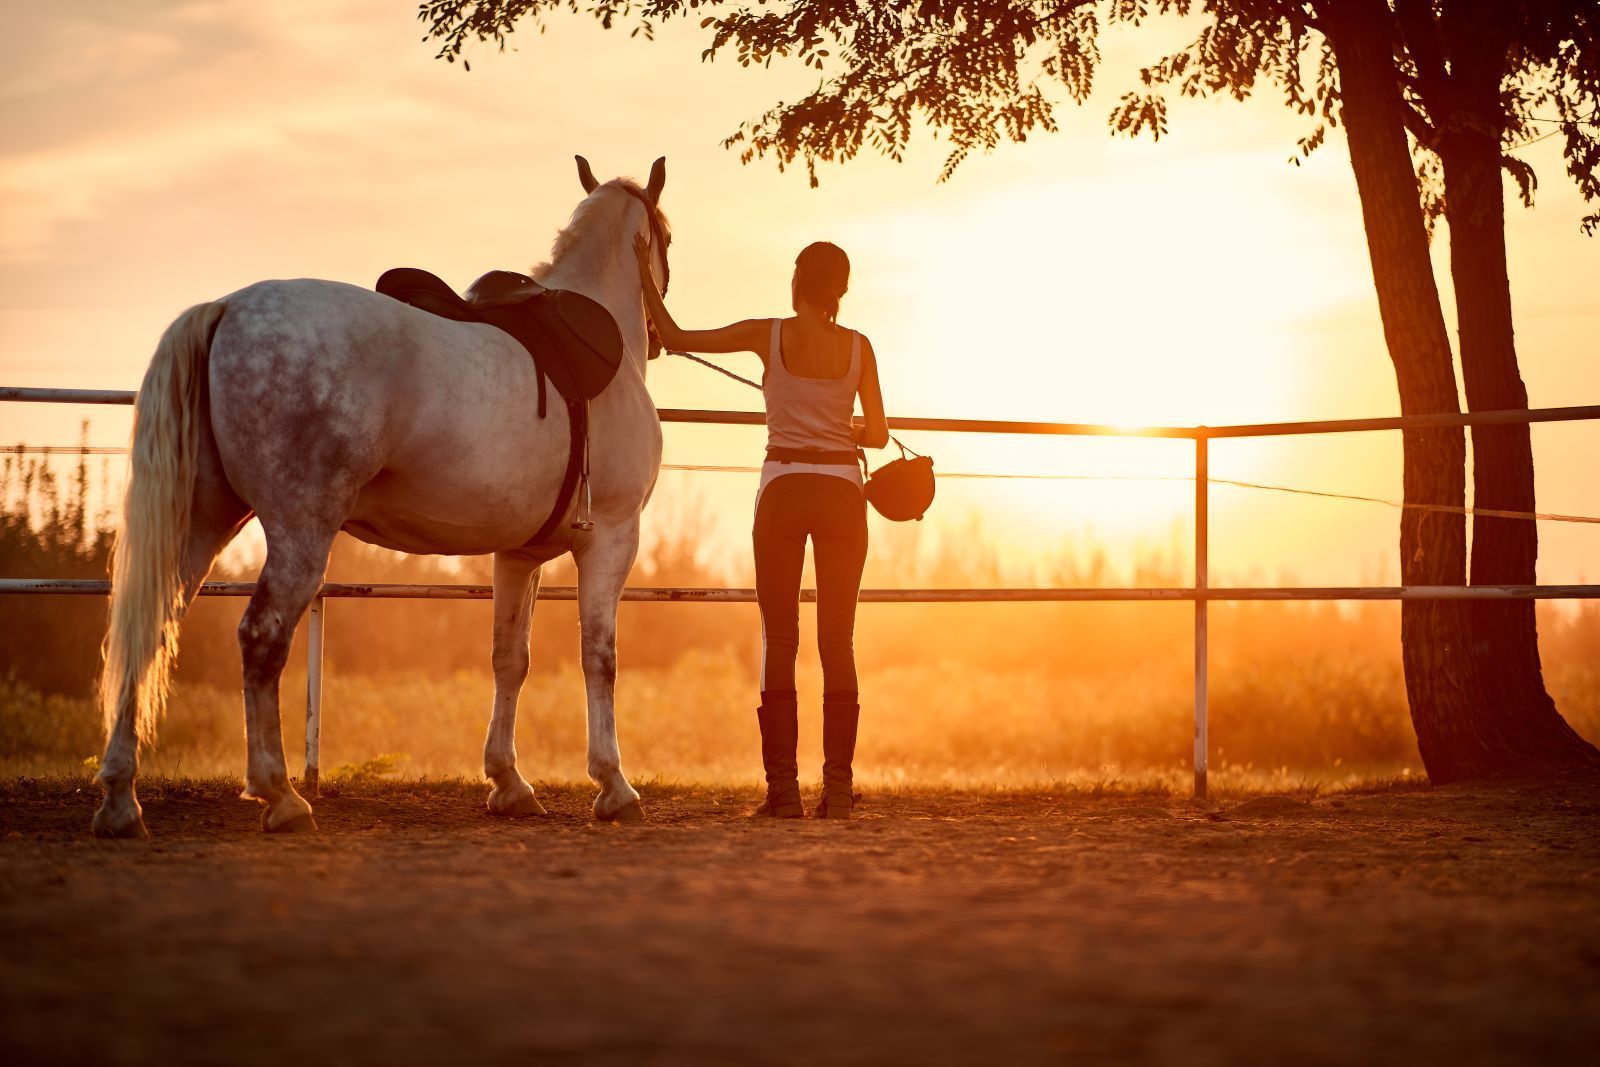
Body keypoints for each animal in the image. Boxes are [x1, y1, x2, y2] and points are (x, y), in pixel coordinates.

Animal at [91, 156, 670, 837]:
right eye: (667, 236)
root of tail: (228, 308)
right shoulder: (610, 538)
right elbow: (598, 656)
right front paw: (614, 785)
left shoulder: (517, 557)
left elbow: (510, 658)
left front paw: (509, 782)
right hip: (300, 530)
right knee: (262, 636)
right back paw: (280, 794)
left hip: (202, 521)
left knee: (149, 627)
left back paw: (120, 799)